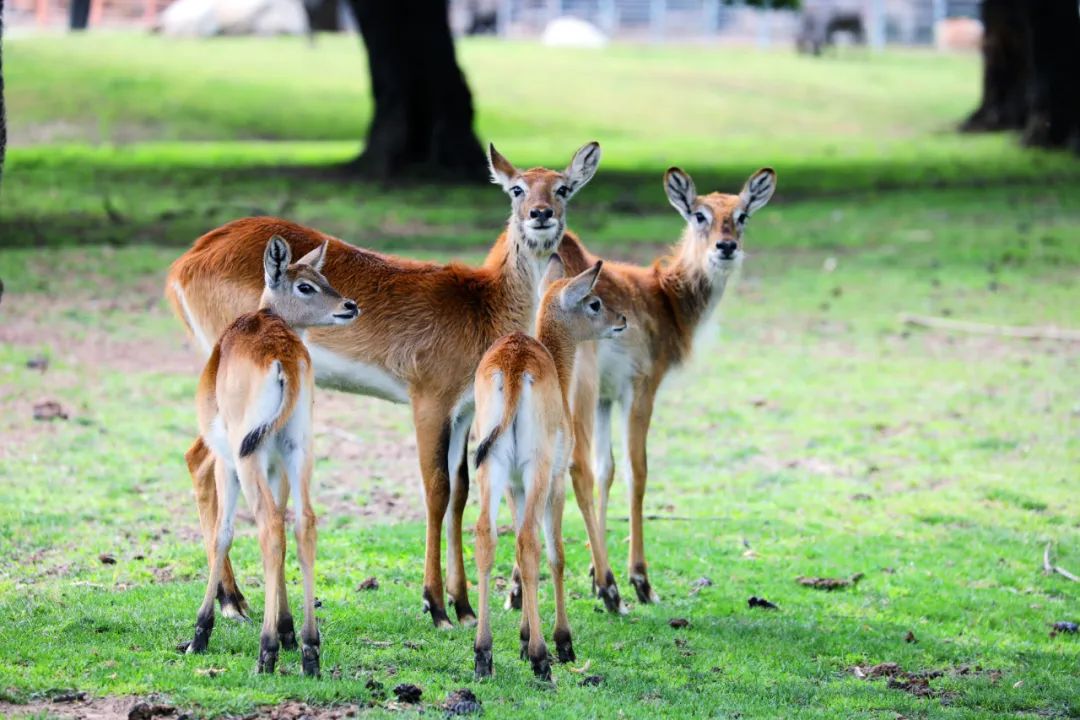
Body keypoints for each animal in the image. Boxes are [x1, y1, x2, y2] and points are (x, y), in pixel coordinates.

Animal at [167, 140, 609, 630]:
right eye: (516, 188)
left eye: (563, 187)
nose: (540, 214)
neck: (484, 301)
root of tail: (187, 260)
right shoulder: (428, 401)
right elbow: (436, 489)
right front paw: (435, 604)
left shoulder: (464, 411)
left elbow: (460, 492)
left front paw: (463, 605)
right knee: (203, 460)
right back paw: (232, 600)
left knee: (203, 461)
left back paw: (234, 600)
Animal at [180, 236, 358, 677]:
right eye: (306, 284)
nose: (350, 306)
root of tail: (282, 355)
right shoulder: (277, 465)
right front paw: (288, 630)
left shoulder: (228, 462)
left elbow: (224, 532)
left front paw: (200, 634)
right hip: (299, 452)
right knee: (302, 524)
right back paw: (309, 649)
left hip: (247, 459)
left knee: (268, 527)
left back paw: (265, 653)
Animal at [470, 257, 626, 682]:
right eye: (593, 302)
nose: (622, 319)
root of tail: (512, 365)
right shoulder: (556, 481)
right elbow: (556, 554)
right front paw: (559, 643)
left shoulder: (515, 486)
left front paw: (523, 639)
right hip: (538, 470)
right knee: (530, 542)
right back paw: (543, 659)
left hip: (492, 469)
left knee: (487, 536)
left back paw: (483, 654)